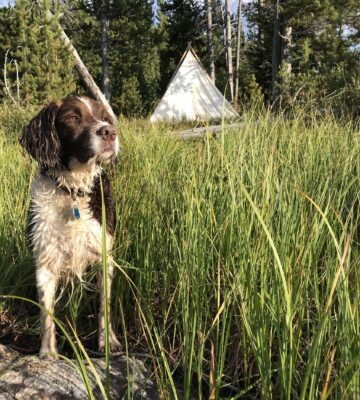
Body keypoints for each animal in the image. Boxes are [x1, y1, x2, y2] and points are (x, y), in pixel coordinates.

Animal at [19, 96, 121, 360]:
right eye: (73, 117)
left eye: (103, 116)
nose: (110, 132)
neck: (73, 189)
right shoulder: (45, 260)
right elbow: (47, 314)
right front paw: (48, 353)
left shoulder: (104, 255)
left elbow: (104, 306)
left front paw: (108, 343)